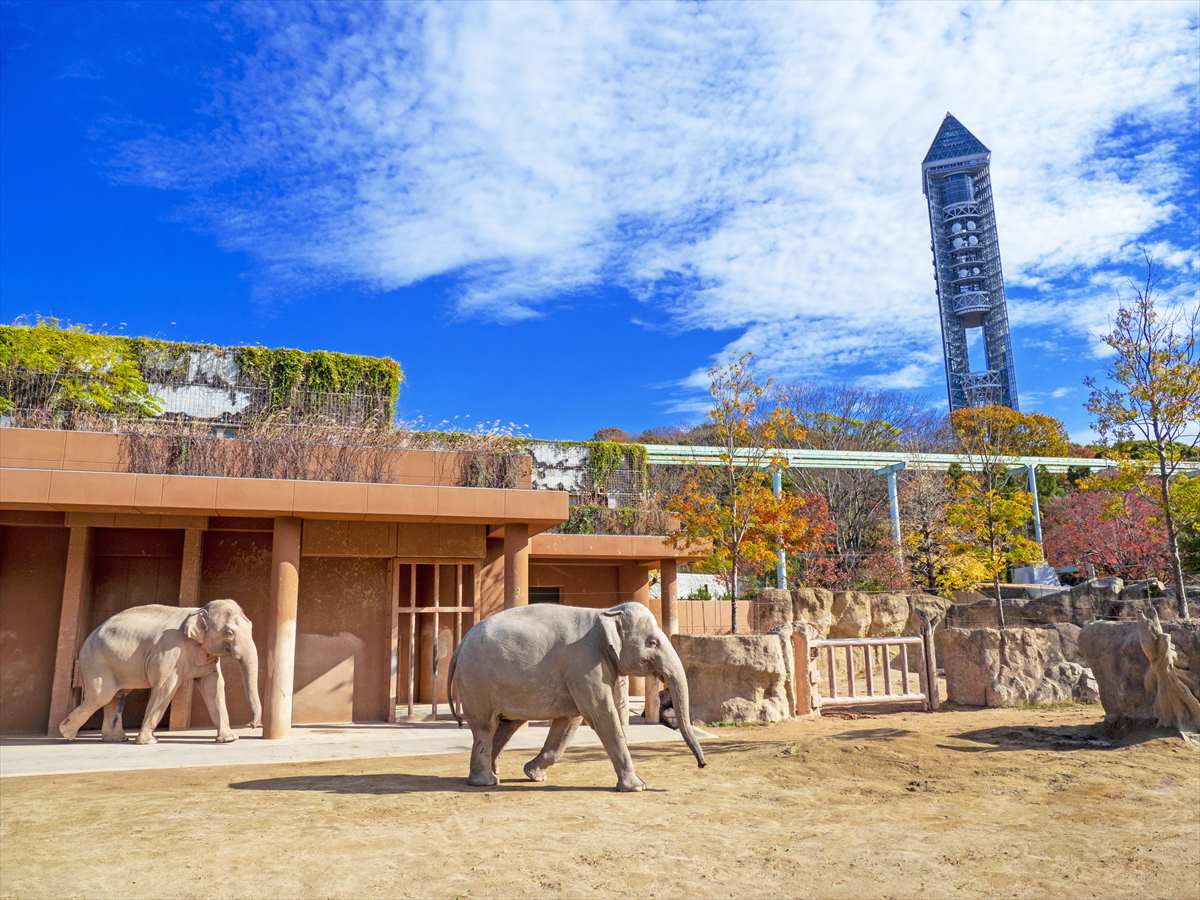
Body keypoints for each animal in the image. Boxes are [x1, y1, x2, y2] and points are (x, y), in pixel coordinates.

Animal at [57, 600, 260, 748]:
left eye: (251, 626)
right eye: (229, 632)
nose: (251, 724)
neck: (198, 610)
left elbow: (214, 687)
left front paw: (229, 739)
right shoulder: (169, 651)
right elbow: (165, 687)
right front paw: (149, 742)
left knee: (117, 696)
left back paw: (116, 739)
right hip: (96, 663)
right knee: (101, 696)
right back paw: (67, 734)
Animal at [448, 602, 705, 792]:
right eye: (652, 642)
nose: (702, 765)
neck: (606, 612)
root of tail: (460, 644)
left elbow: (569, 721)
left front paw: (534, 774)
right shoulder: (585, 664)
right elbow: (601, 714)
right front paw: (637, 787)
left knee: (506, 725)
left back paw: (494, 775)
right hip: (477, 681)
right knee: (486, 727)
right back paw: (485, 782)